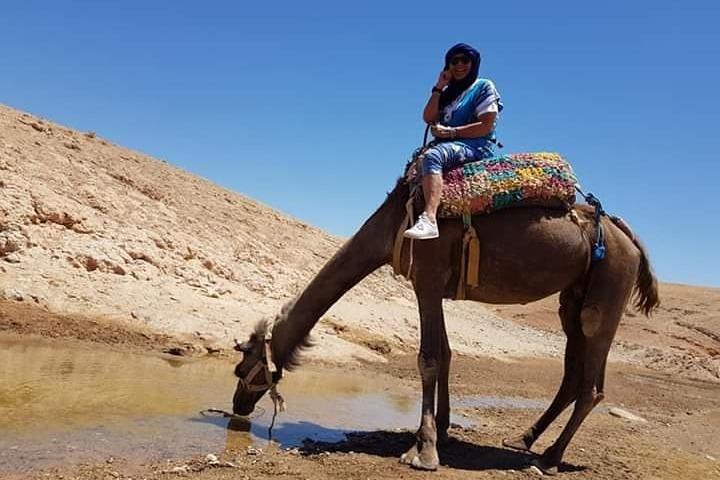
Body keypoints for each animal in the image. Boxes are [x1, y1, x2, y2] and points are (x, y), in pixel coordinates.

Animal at [231, 174, 659, 474]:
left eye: (241, 367)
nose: (238, 405)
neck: (390, 227)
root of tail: (630, 239)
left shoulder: (427, 279)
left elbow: (429, 359)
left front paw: (423, 451)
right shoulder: (434, 287)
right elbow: (448, 355)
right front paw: (443, 429)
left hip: (609, 285)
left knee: (591, 383)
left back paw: (551, 457)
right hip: (574, 296)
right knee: (574, 372)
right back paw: (523, 438)